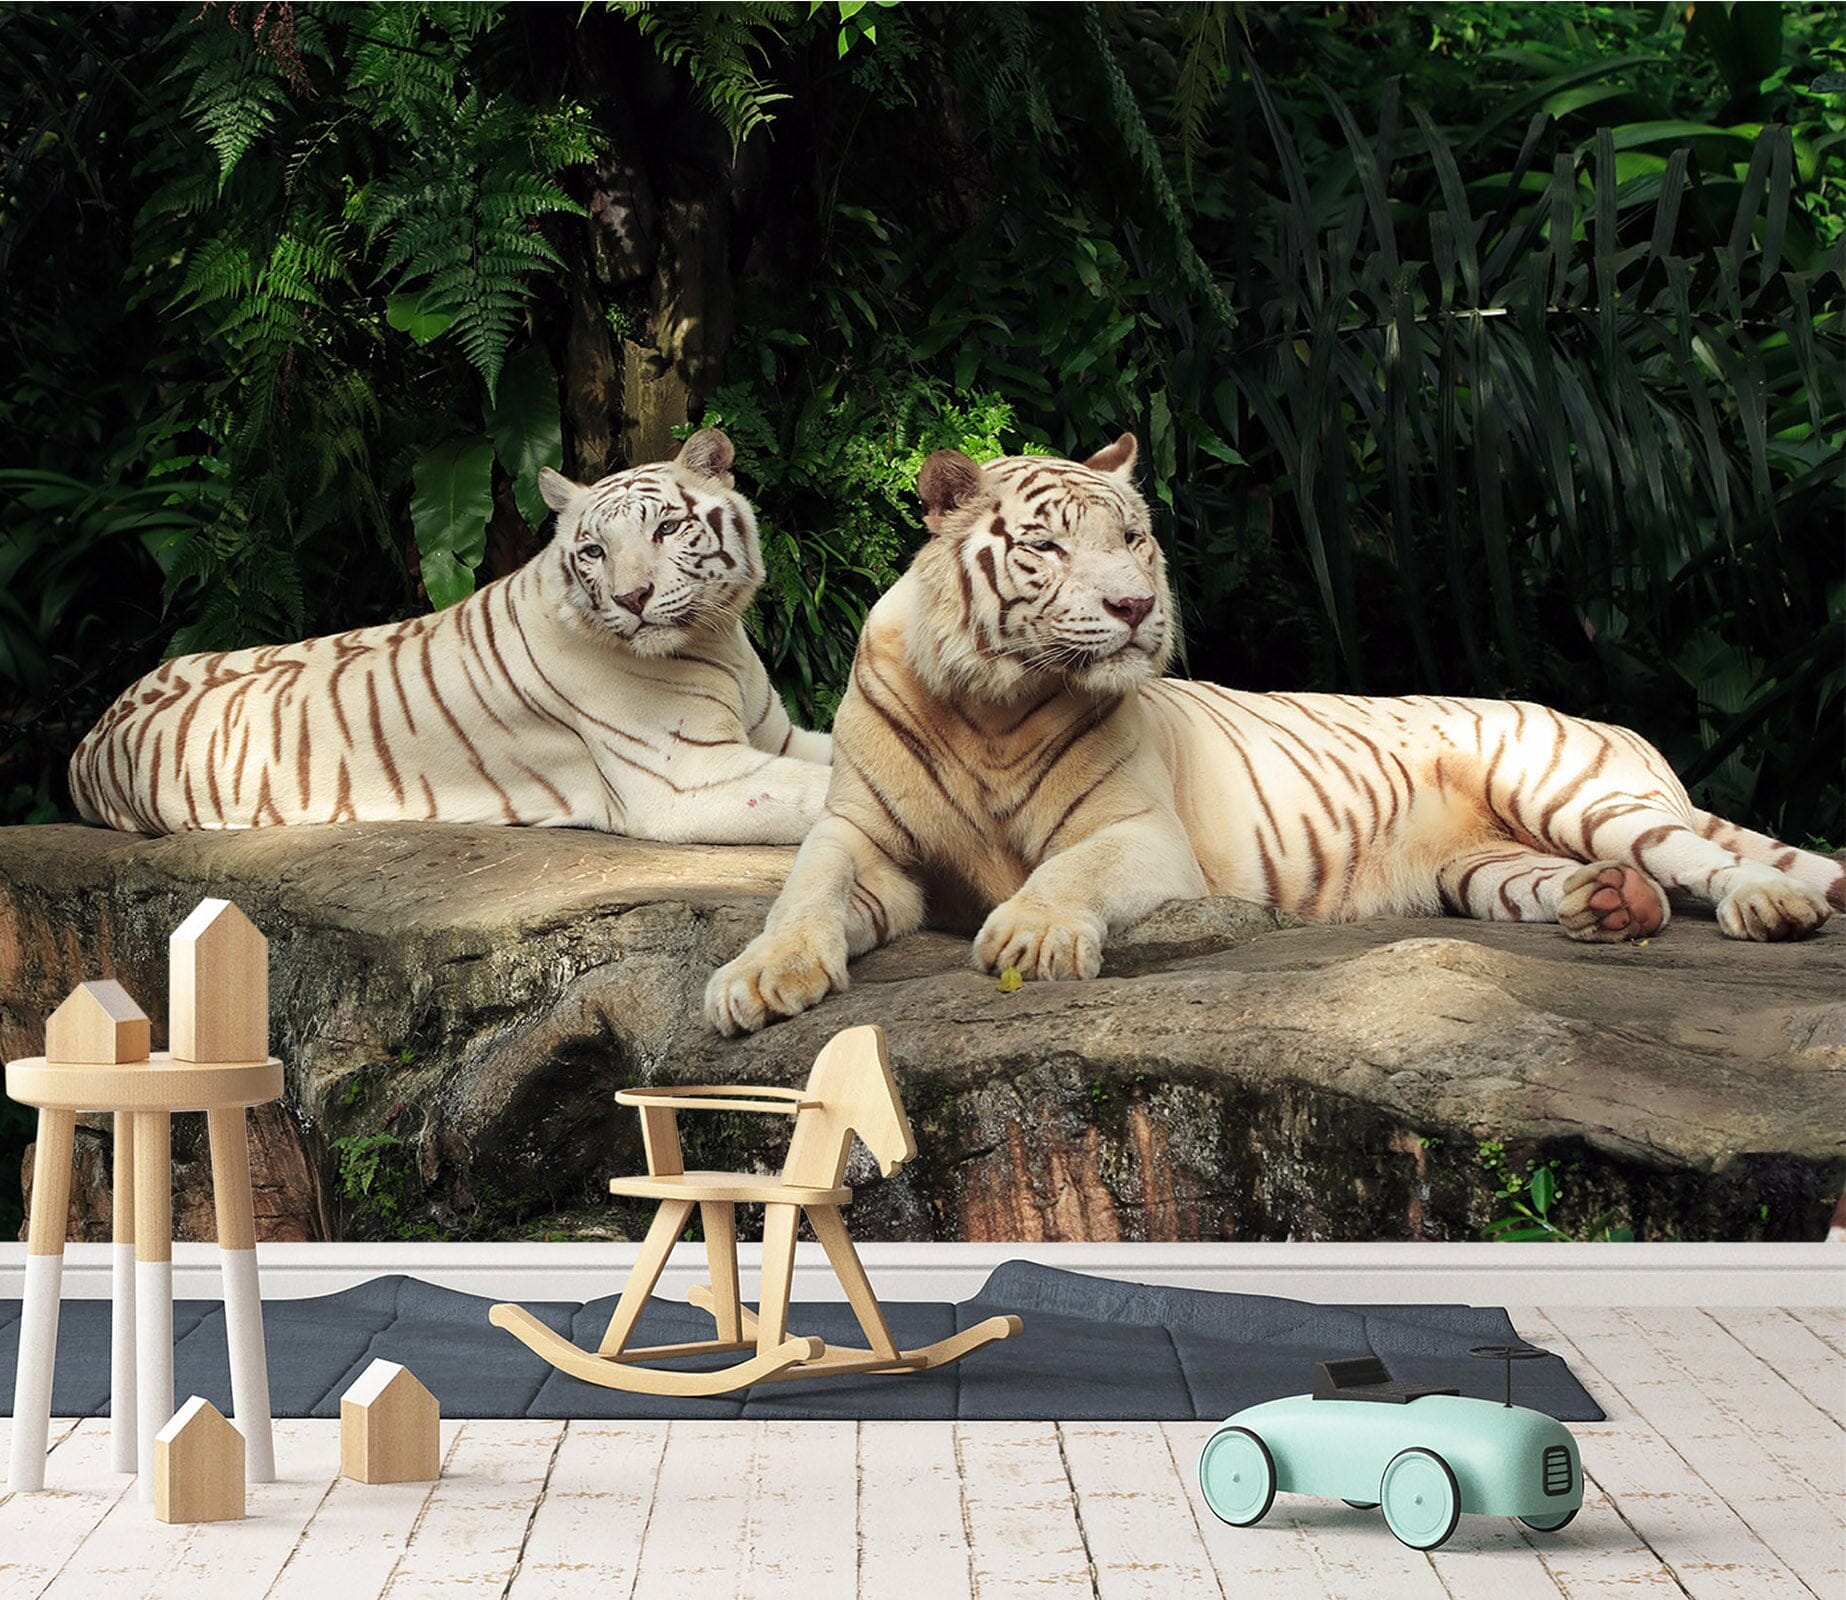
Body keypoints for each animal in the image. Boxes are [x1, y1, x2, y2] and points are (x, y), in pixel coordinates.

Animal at [69, 429, 833, 844]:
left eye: (668, 529)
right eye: (593, 552)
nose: (631, 598)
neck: (716, 639)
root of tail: (88, 739)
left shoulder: (775, 738)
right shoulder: (688, 778)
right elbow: (822, 794)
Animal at [705, 433, 1841, 1034]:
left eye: (1133, 539)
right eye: (1046, 548)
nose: (1133, 607)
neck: (989, 701)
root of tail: (1616, 727)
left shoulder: (1135, 832)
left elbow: (1065, 873)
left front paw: (1031, 935)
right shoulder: (862, 836)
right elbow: (804, 892)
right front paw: (758, 980)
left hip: (1569, 790)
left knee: (1701, 853)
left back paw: (1769, 906)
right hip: (1485, 866)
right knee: (1590, 880)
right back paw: (1612, 906)